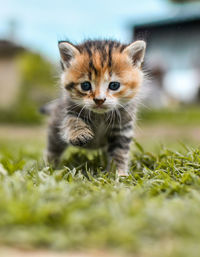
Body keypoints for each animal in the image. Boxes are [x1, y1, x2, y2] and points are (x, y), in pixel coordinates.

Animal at [45, 39, 145, 175]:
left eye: (114, 85)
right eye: (85, 85)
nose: (99, 100)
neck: (101, 116)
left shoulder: (123, 128)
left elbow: (119, 152)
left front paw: (119, 174)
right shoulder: (67, 110)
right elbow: (71, 121)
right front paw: (79, 133)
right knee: (53, 148)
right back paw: (49, 167)